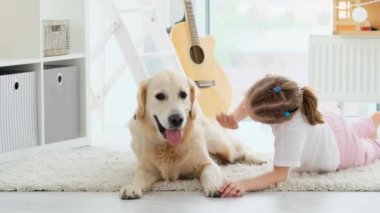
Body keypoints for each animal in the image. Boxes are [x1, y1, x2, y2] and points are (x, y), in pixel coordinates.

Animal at [120, 71, 262, 200]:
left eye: (183, 94)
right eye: (159, 96)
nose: (177, 119)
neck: (168, 147)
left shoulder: (207, 163)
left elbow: (209, 173)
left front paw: (215, 186)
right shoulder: (146, 168)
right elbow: (139, 176)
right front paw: (132, 187)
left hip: (220, 146)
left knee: (240, 150)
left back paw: (257, 158)